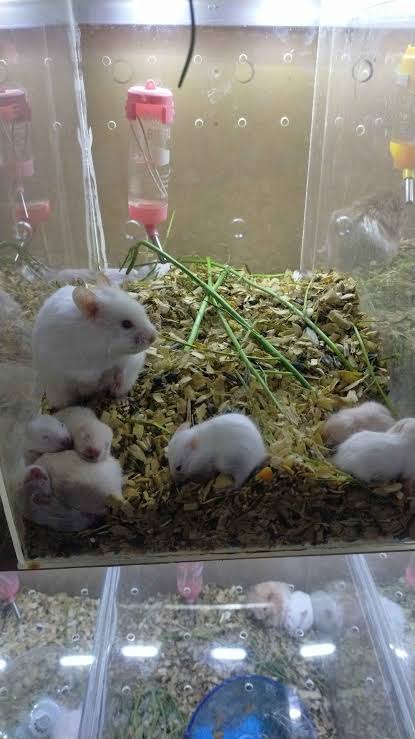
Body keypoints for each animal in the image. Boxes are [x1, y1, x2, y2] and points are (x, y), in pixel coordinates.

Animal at [32, 273, 157, 408]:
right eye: (126, 324)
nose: (153, 337)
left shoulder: (124, 360)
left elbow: (120, 371)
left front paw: (114, 383)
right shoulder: (76, 369)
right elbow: (87, 380)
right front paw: (96, 384)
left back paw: (120, 399)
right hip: (59, 394)